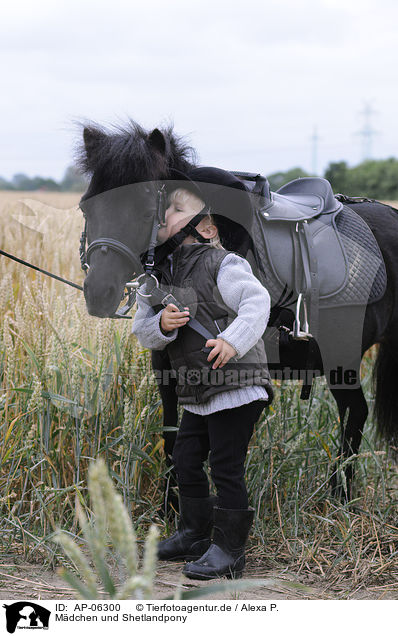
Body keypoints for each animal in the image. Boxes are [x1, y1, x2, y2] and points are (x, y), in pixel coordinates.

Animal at [77, 121, 398, 504]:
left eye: (144, 211)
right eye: (86, 209)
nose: (99, 293)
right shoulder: (164, 362)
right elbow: (171, 429)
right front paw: (170, 504)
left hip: (341, 357)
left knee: (356, 412)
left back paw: (340, 495)